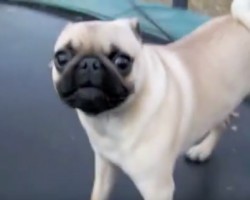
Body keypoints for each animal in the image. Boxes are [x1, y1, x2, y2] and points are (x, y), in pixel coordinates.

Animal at [50, 0, 250, 198]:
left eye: (122, 62)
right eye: (61, 58)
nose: (89, 63)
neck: (110, 119)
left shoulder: (157, 188)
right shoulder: (105, 167)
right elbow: (98, 194)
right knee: (223, 122)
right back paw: (203, 150)